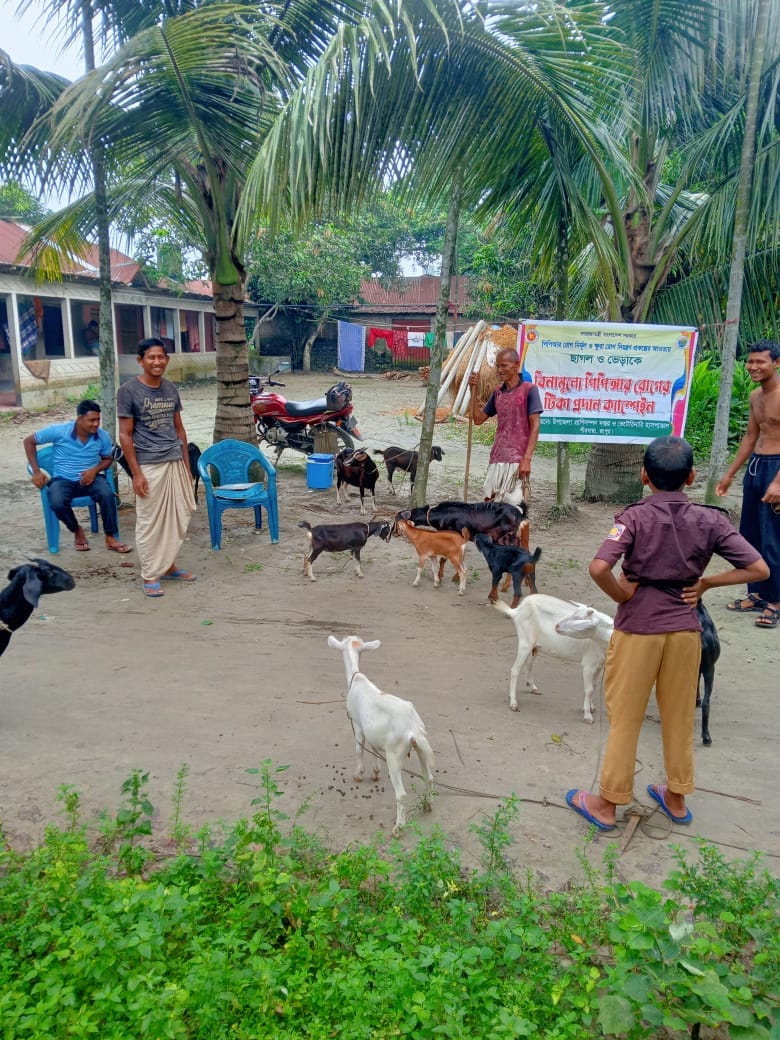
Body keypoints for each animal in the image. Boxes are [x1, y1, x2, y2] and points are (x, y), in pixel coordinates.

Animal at [327, 634, 435, 835]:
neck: (356, 679)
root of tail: (412, 728)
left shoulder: (357, 724)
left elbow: (359, 748)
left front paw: (359, 774)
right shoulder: (373, 731)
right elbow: (374, 748)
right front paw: (376, 772)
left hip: (394, 754)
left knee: (401, 794)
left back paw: (398, 828)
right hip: (420, 748)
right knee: (429, 777)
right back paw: (428, 805)